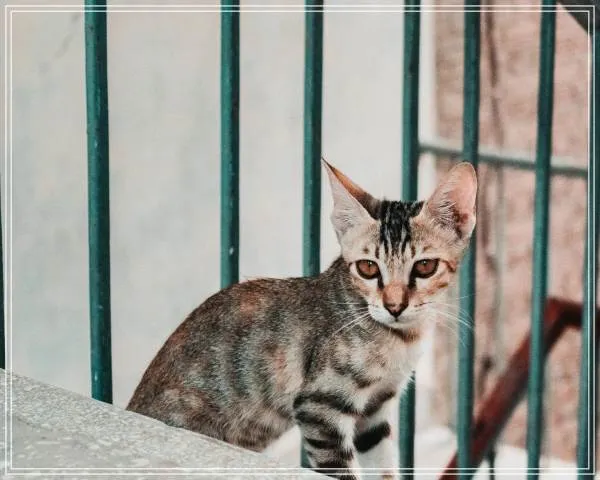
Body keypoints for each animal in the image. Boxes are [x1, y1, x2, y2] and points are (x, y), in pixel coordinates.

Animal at [127, 161, 477, 480]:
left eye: (425, 267)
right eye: (368, 268)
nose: (394, 306)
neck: (399, 339)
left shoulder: (374, 413)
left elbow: (383, 468)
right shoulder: (321, 406)